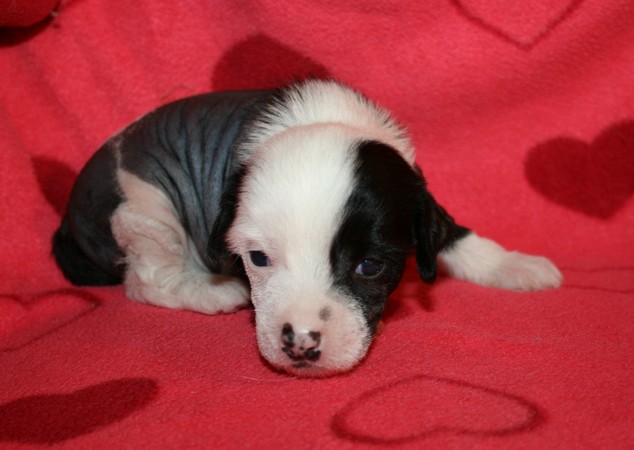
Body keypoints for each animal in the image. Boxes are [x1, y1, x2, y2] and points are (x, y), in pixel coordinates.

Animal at [53, 80, 562, 377]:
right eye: (257, 259)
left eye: (370, 267)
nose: (299, 344)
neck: (325, 118)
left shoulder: (417, 194)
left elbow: (454, 232)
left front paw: (514, 265)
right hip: (145, 208)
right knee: (145, 280)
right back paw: (210, 291)